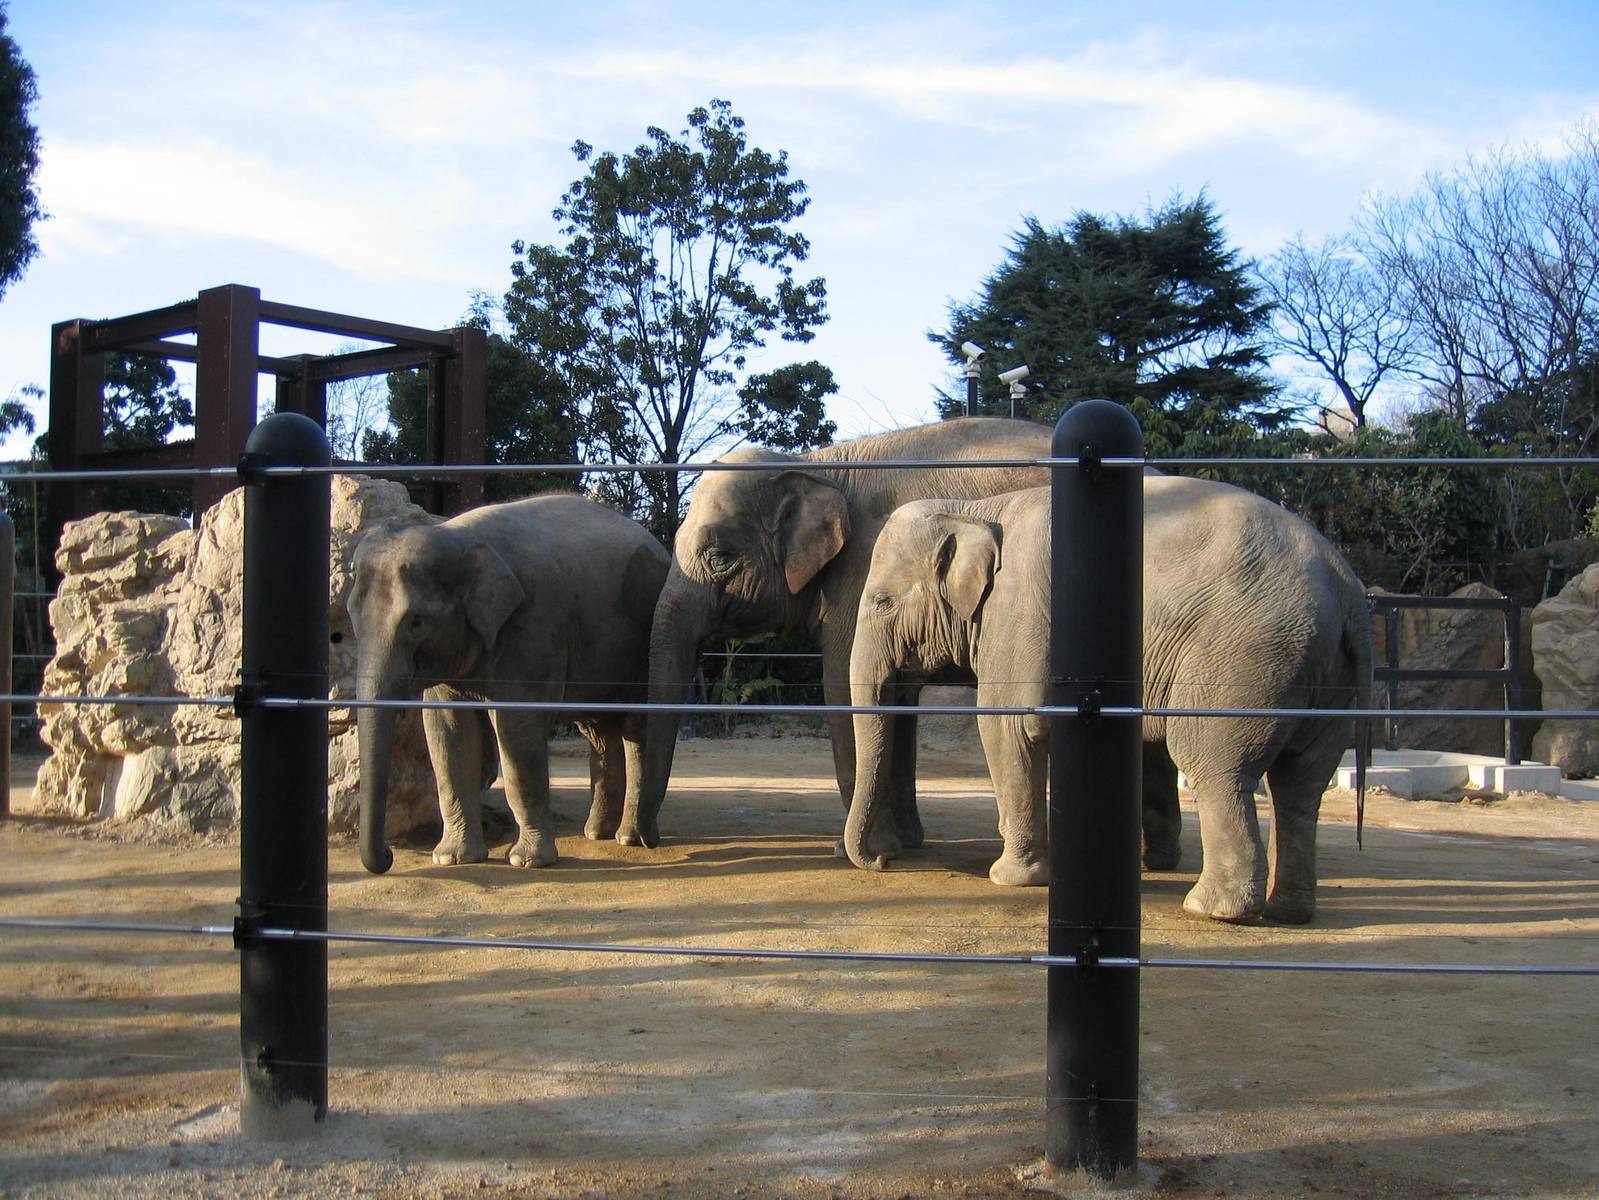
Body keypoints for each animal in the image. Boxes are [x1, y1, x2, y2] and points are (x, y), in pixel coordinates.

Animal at [348, 493, 670, 874]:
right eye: (350, 616)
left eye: (417, 622)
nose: (388, 856)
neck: (455, 535)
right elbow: (446, 732)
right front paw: (451, 858)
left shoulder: (532, 627)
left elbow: (517, 728)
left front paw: (526, 861)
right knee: (598, 730)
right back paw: (596, 833)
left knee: (636, 729)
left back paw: (629, 838)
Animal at [632, 417, 1052, 853]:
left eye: (719, 558)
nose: (646, 840)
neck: (818, 466)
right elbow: (895, 696)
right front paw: (903, 846)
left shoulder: (863, 571)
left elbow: (841, 686)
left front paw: (868, 852)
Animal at [844, 477, 1373, 924]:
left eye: (883, 602)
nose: (884, 860)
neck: (979, 509)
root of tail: (1347, 592)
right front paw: (1143, 863)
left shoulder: (1020, 609)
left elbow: (1010, 725)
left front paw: (1011, 877)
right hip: (1326, 679)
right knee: (1300, 785)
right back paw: (1290, 912)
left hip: (1244, 659)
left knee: (1216, 768)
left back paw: (1213, 910)